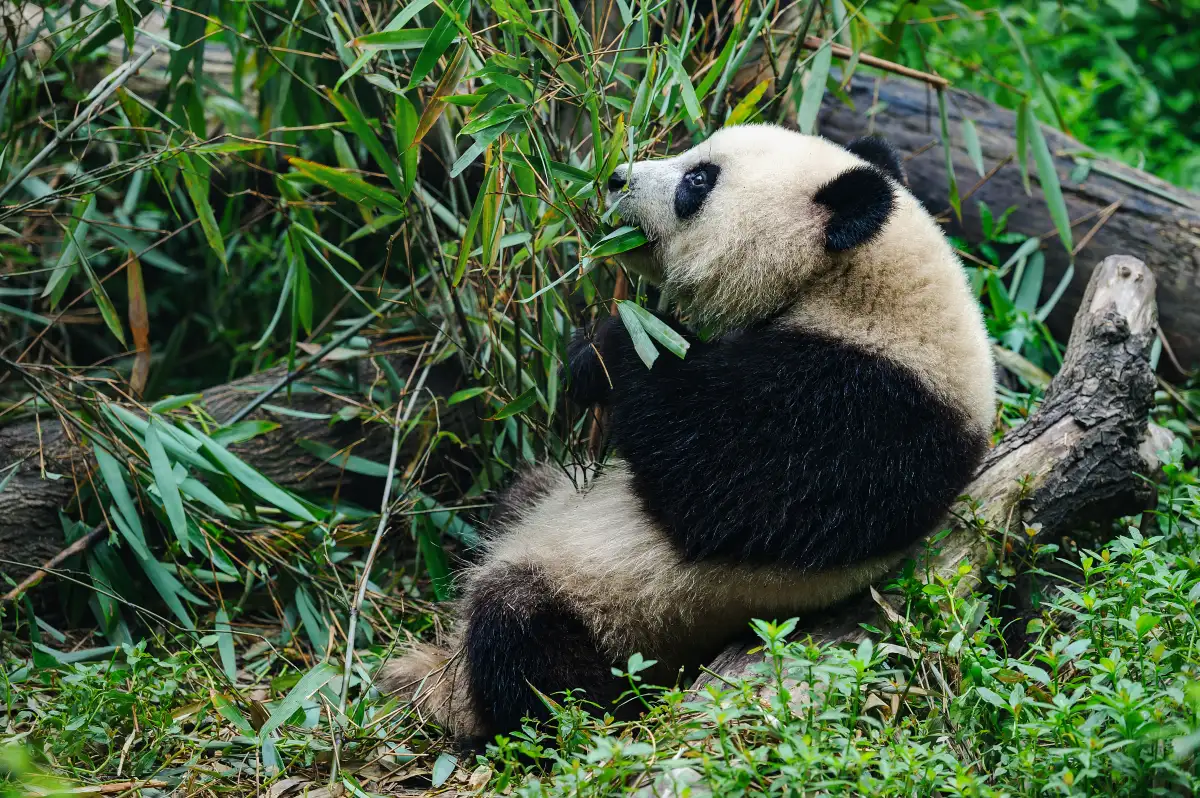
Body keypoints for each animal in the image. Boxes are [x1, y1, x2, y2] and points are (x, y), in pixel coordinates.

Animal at [380, 123, 996, 743]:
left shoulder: (869, 411)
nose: (614, 177)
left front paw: (609, 345)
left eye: (698, 180)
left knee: (524, 637)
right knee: (520, 497)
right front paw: (589, 355)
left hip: (621, 621)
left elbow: (719, 489)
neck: (861, 288)